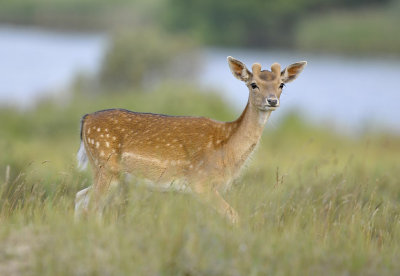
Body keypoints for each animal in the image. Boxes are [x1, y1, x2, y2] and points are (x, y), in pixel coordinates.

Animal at [75, 57, 306, 223]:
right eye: (253, 84)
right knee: (91, 207)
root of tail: (86, 120)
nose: (272, 101)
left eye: (282, 84)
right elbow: (233, 216)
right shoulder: (199, 182)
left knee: (80, 197)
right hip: (105, 166)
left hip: (108, 173)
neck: (227, 149)